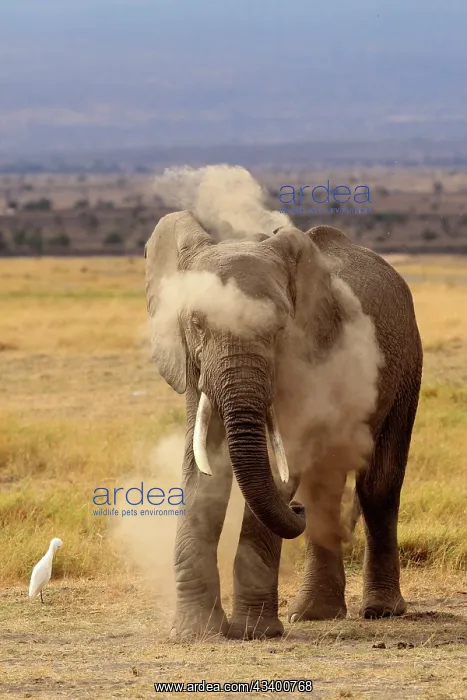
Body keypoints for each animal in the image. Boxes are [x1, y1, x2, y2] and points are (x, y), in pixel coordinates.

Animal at [144, 211, 423, 640]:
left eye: (278, 328)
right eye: (196, 322)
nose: (295, 510)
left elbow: (281, 466)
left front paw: (254, 632)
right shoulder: (191, 364)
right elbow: (201, 472)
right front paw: (195, 633)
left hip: (407, 362)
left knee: (378, 484)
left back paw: (380, 610)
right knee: (323, 487)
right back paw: (312, 614)